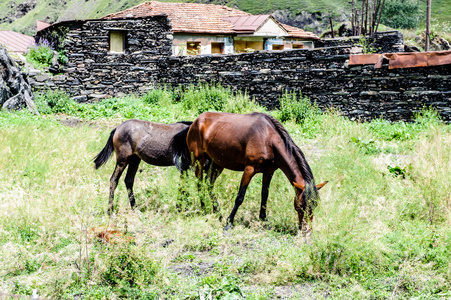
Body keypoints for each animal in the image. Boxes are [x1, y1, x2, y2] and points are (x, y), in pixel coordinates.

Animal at [185, 112, 326, 232]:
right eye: (301, 205)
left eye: (315, 205)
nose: (306, 229)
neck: (268, 139)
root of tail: (196, 121)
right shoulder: (249, 169)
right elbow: (240, 197)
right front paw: (229, 223)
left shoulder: (269, 171)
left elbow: (264, 194)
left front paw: (263, 219)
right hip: (199, 160)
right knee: (199, 183)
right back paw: (204, 209)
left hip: (217, 163)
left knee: (209, 184)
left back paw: (217, 212)